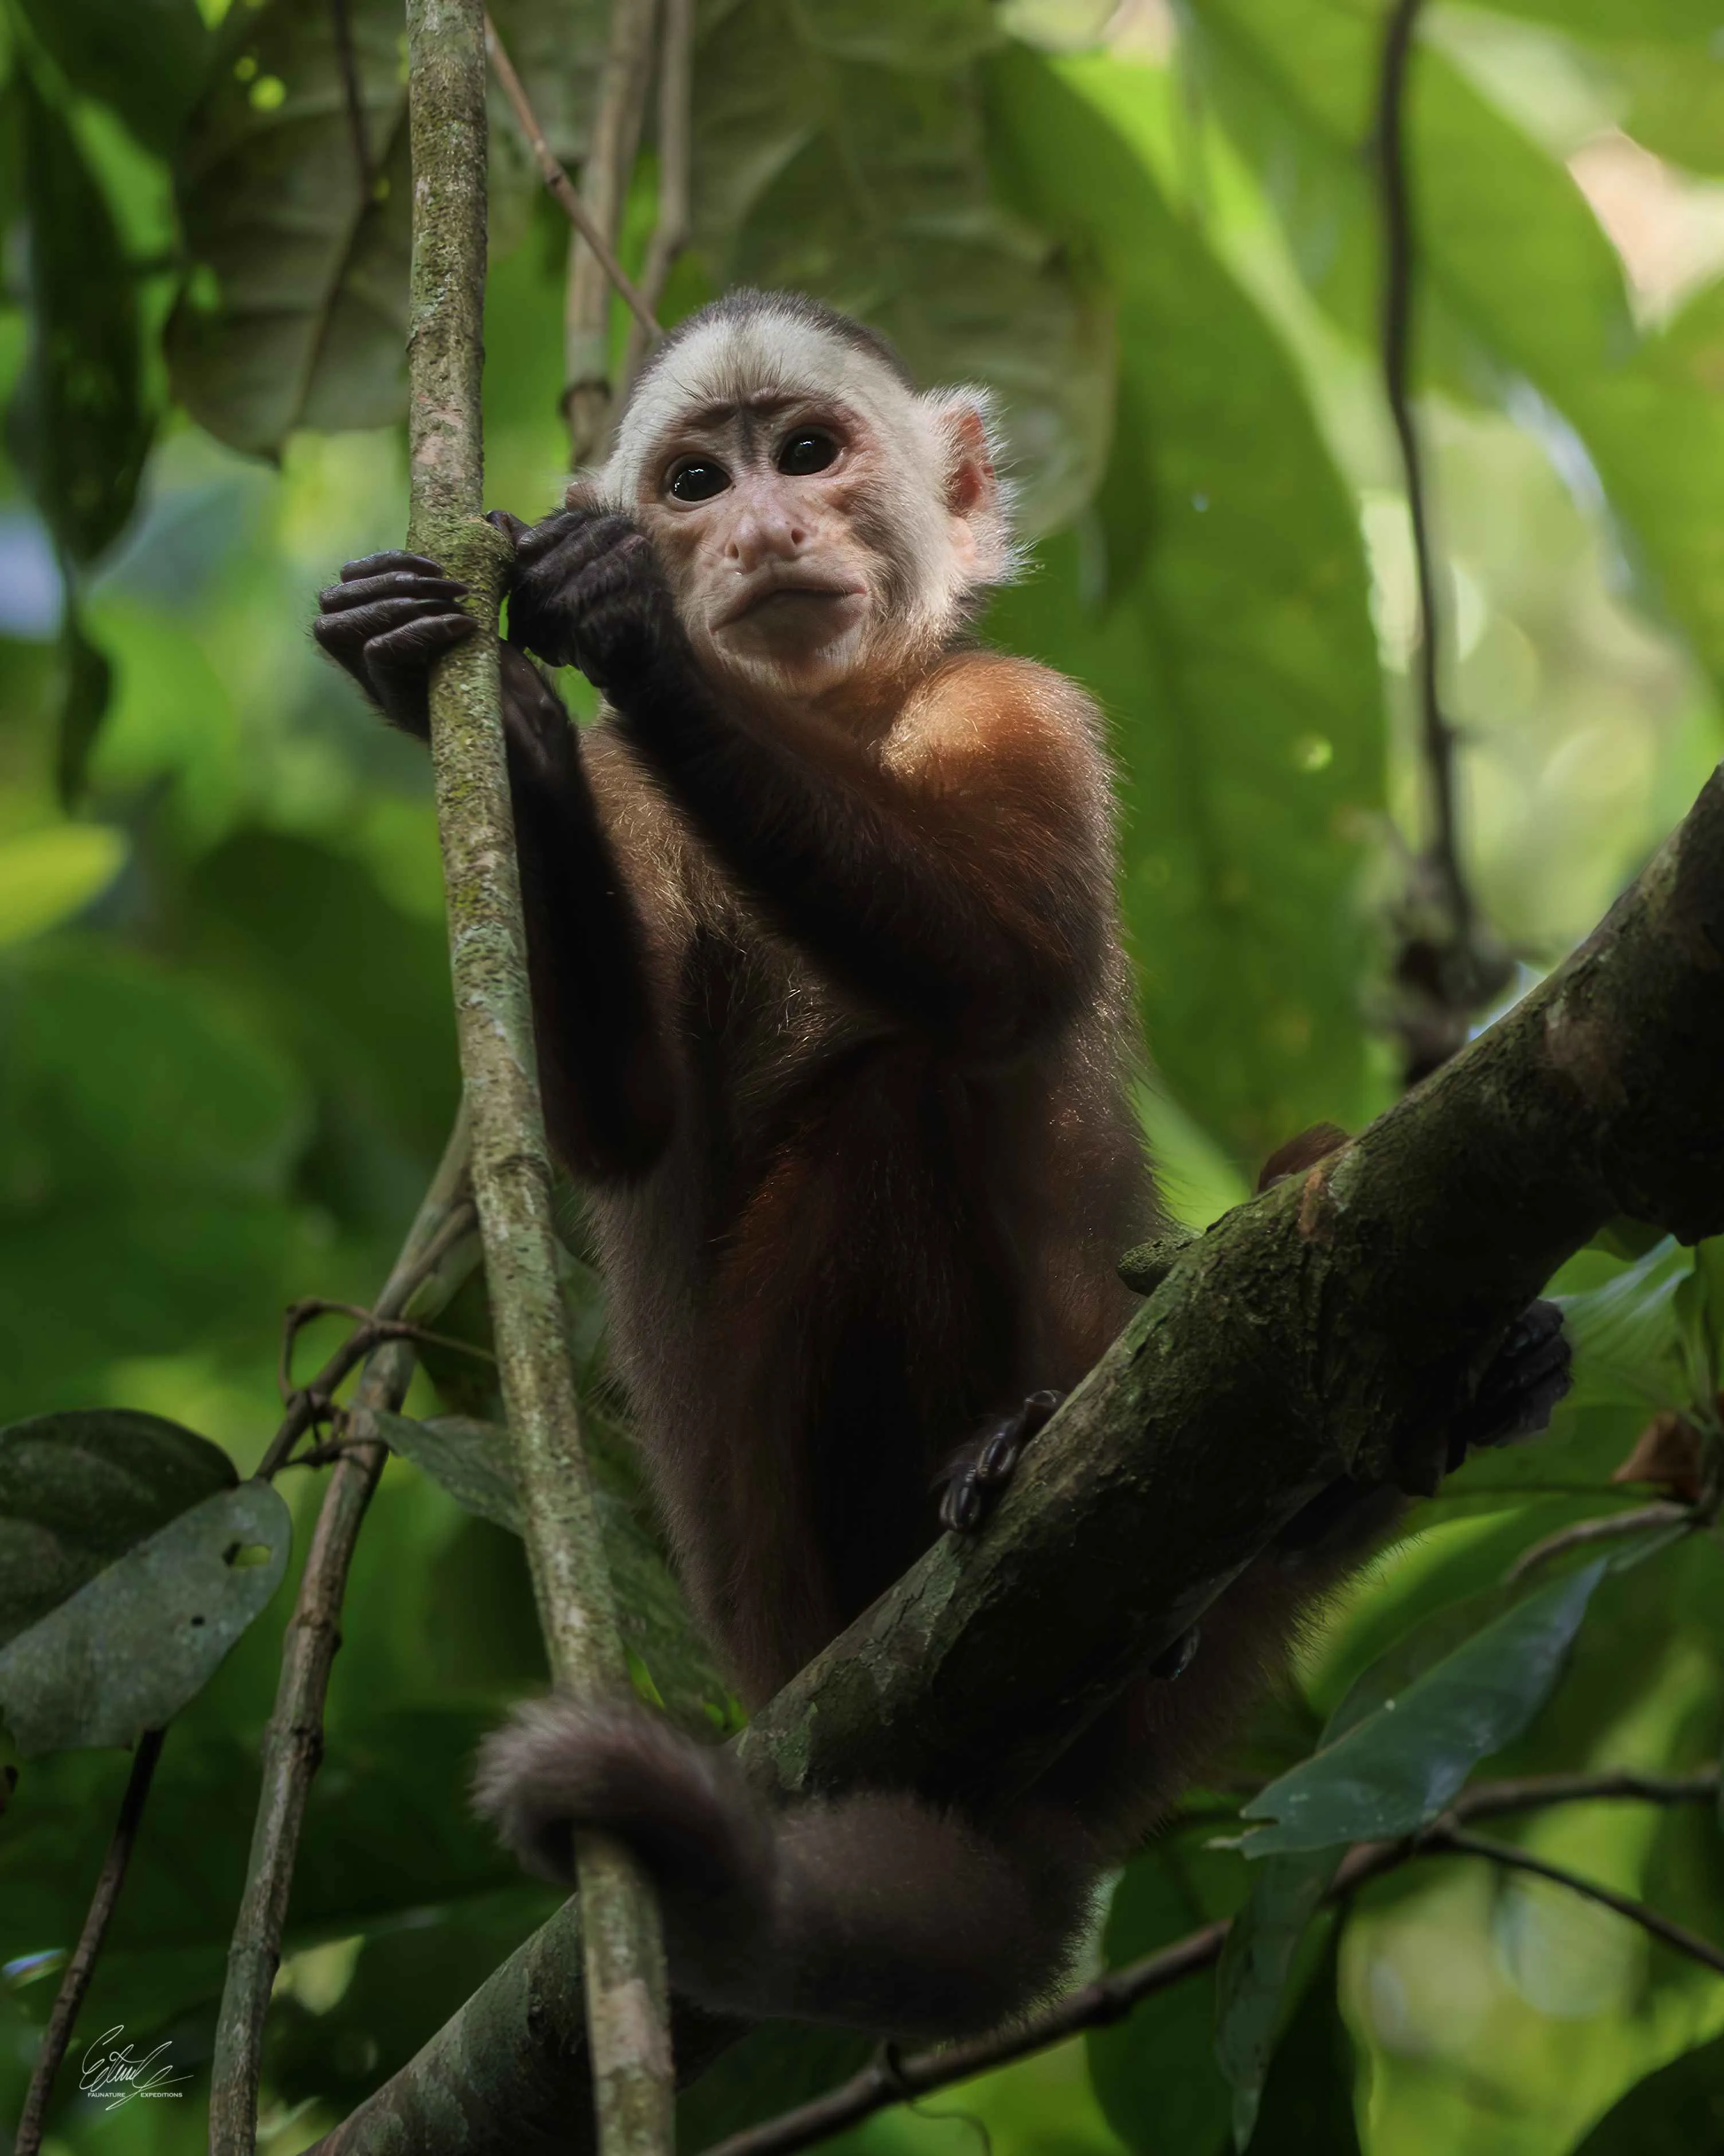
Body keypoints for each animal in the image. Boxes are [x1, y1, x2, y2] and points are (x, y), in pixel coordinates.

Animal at [314, 289, 1572, 2040]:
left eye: (807, 454)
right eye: (694, 480)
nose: (757, 530)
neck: (834, 719)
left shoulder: (1017, 703)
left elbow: (1020, 974)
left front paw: (616, 626)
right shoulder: (650, 798)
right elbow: (626, 1125)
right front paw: (500, 708)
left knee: (1289, 1201)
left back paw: (1441, 1394)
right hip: (788, 1590)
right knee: (890, 1113)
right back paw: (957, 1500)